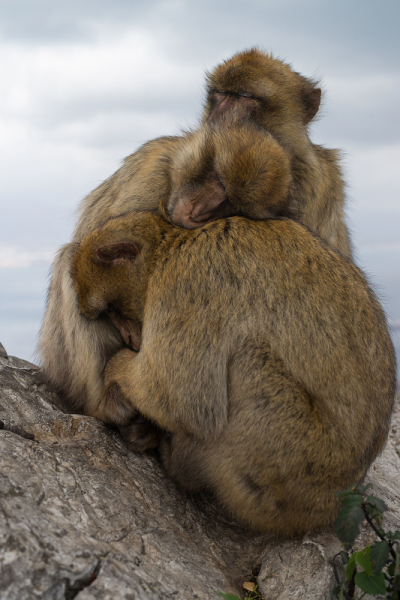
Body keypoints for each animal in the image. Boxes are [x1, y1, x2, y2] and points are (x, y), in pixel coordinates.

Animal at [39, 49, 354, 418]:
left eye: (247, 97)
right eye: (220, 95)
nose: (220, 116)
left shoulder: (322, 185)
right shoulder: (154, 165)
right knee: (70, 258)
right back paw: (110, 406)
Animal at [72, 124, 396, 536]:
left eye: (112, 311)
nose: (131, 337)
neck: (173, 244)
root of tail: (330, 507)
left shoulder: (188, 282)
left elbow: (180, 398)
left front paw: (117, 371)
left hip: (289, 468)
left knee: (246, 363)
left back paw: (180, 461)